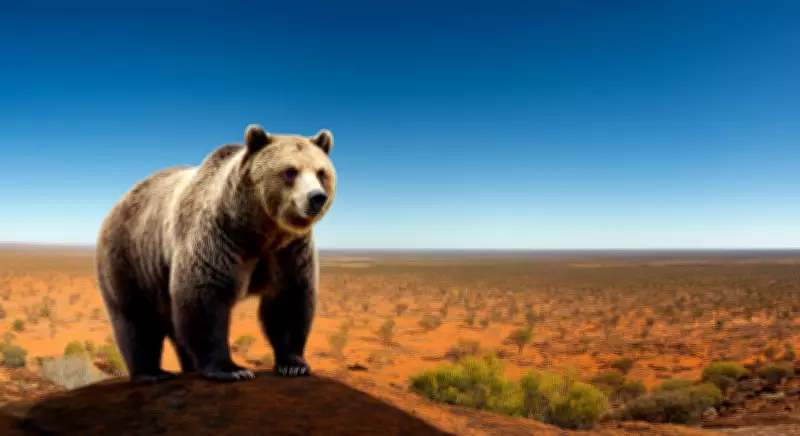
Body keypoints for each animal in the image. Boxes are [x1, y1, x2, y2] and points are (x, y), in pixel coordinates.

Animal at [94, 124, 336, 384]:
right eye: (290, 171)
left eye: (321, 172)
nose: (316, 197)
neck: (258, 229)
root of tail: (117, 204)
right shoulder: (219, 237)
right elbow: (205, 297)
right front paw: (232, 369)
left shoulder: (289, 249)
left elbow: (289, 298)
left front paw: (294, 364)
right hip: (131, 255)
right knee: (137, 317)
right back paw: (152, 373)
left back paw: (188, 366)